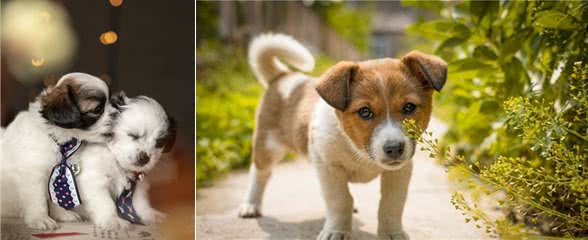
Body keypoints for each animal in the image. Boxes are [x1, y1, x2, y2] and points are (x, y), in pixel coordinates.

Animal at [55, 93, 177, 229]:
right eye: (132, 135)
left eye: (159, 142)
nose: (145, 158)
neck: (116, 159)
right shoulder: (94, 181)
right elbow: (105, 203)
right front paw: (112, 220)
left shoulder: (138, 185)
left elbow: (140, 202)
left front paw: (149, 214)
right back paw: (65, 215)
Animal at [238, 34, 446, 240]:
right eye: (365, 112)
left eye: (409, 107)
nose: (394, 148)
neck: (357, 150)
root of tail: (284, 76)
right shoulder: (329, 168)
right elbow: (340, 200)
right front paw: (336, 231)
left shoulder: (399, 172)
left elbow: (391, 204)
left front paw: (391, 233)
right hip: (267, 146)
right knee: (259, 173)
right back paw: (250, 205)